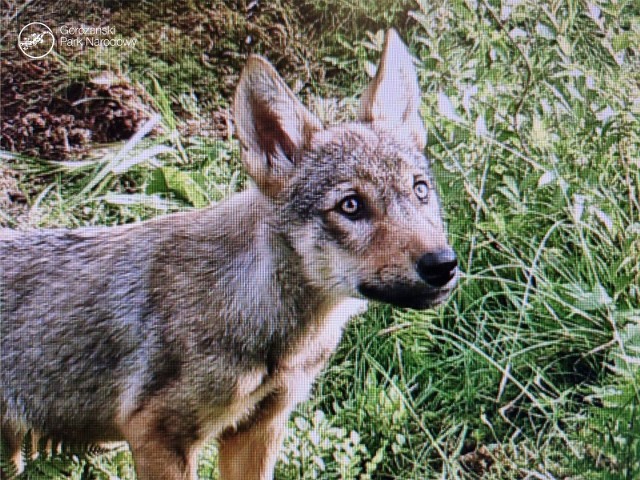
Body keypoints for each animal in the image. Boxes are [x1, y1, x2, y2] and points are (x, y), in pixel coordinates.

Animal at [1, 31, 460, 480]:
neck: (249, 301)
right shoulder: (158, 438)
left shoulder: (259, 429)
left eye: (420, 190)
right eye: (351, 206)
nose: (443, 264)